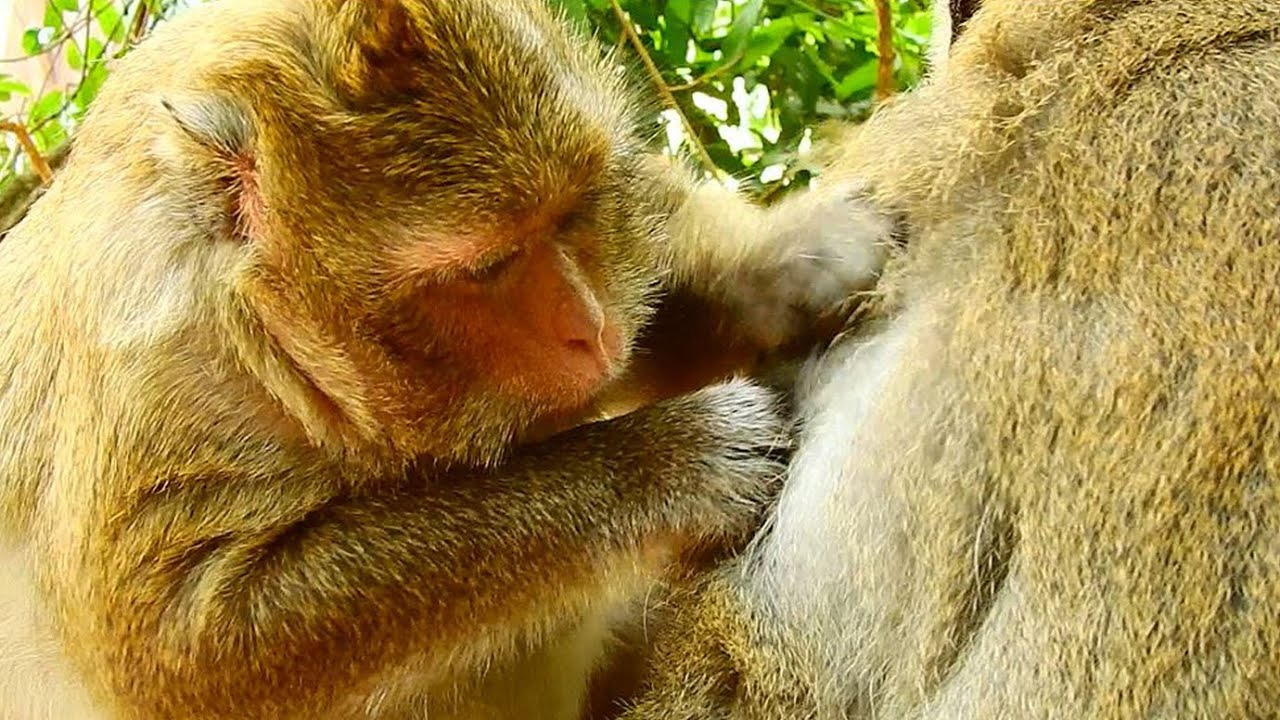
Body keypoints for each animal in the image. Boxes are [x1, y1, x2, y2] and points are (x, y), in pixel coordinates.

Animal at [0, 1, 894, 719]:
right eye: (487, 267)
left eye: (573, 213)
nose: (591, 330)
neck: (254, 316)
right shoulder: (150, 361)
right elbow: (190, 647)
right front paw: (667, 464)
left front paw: (787, 264)